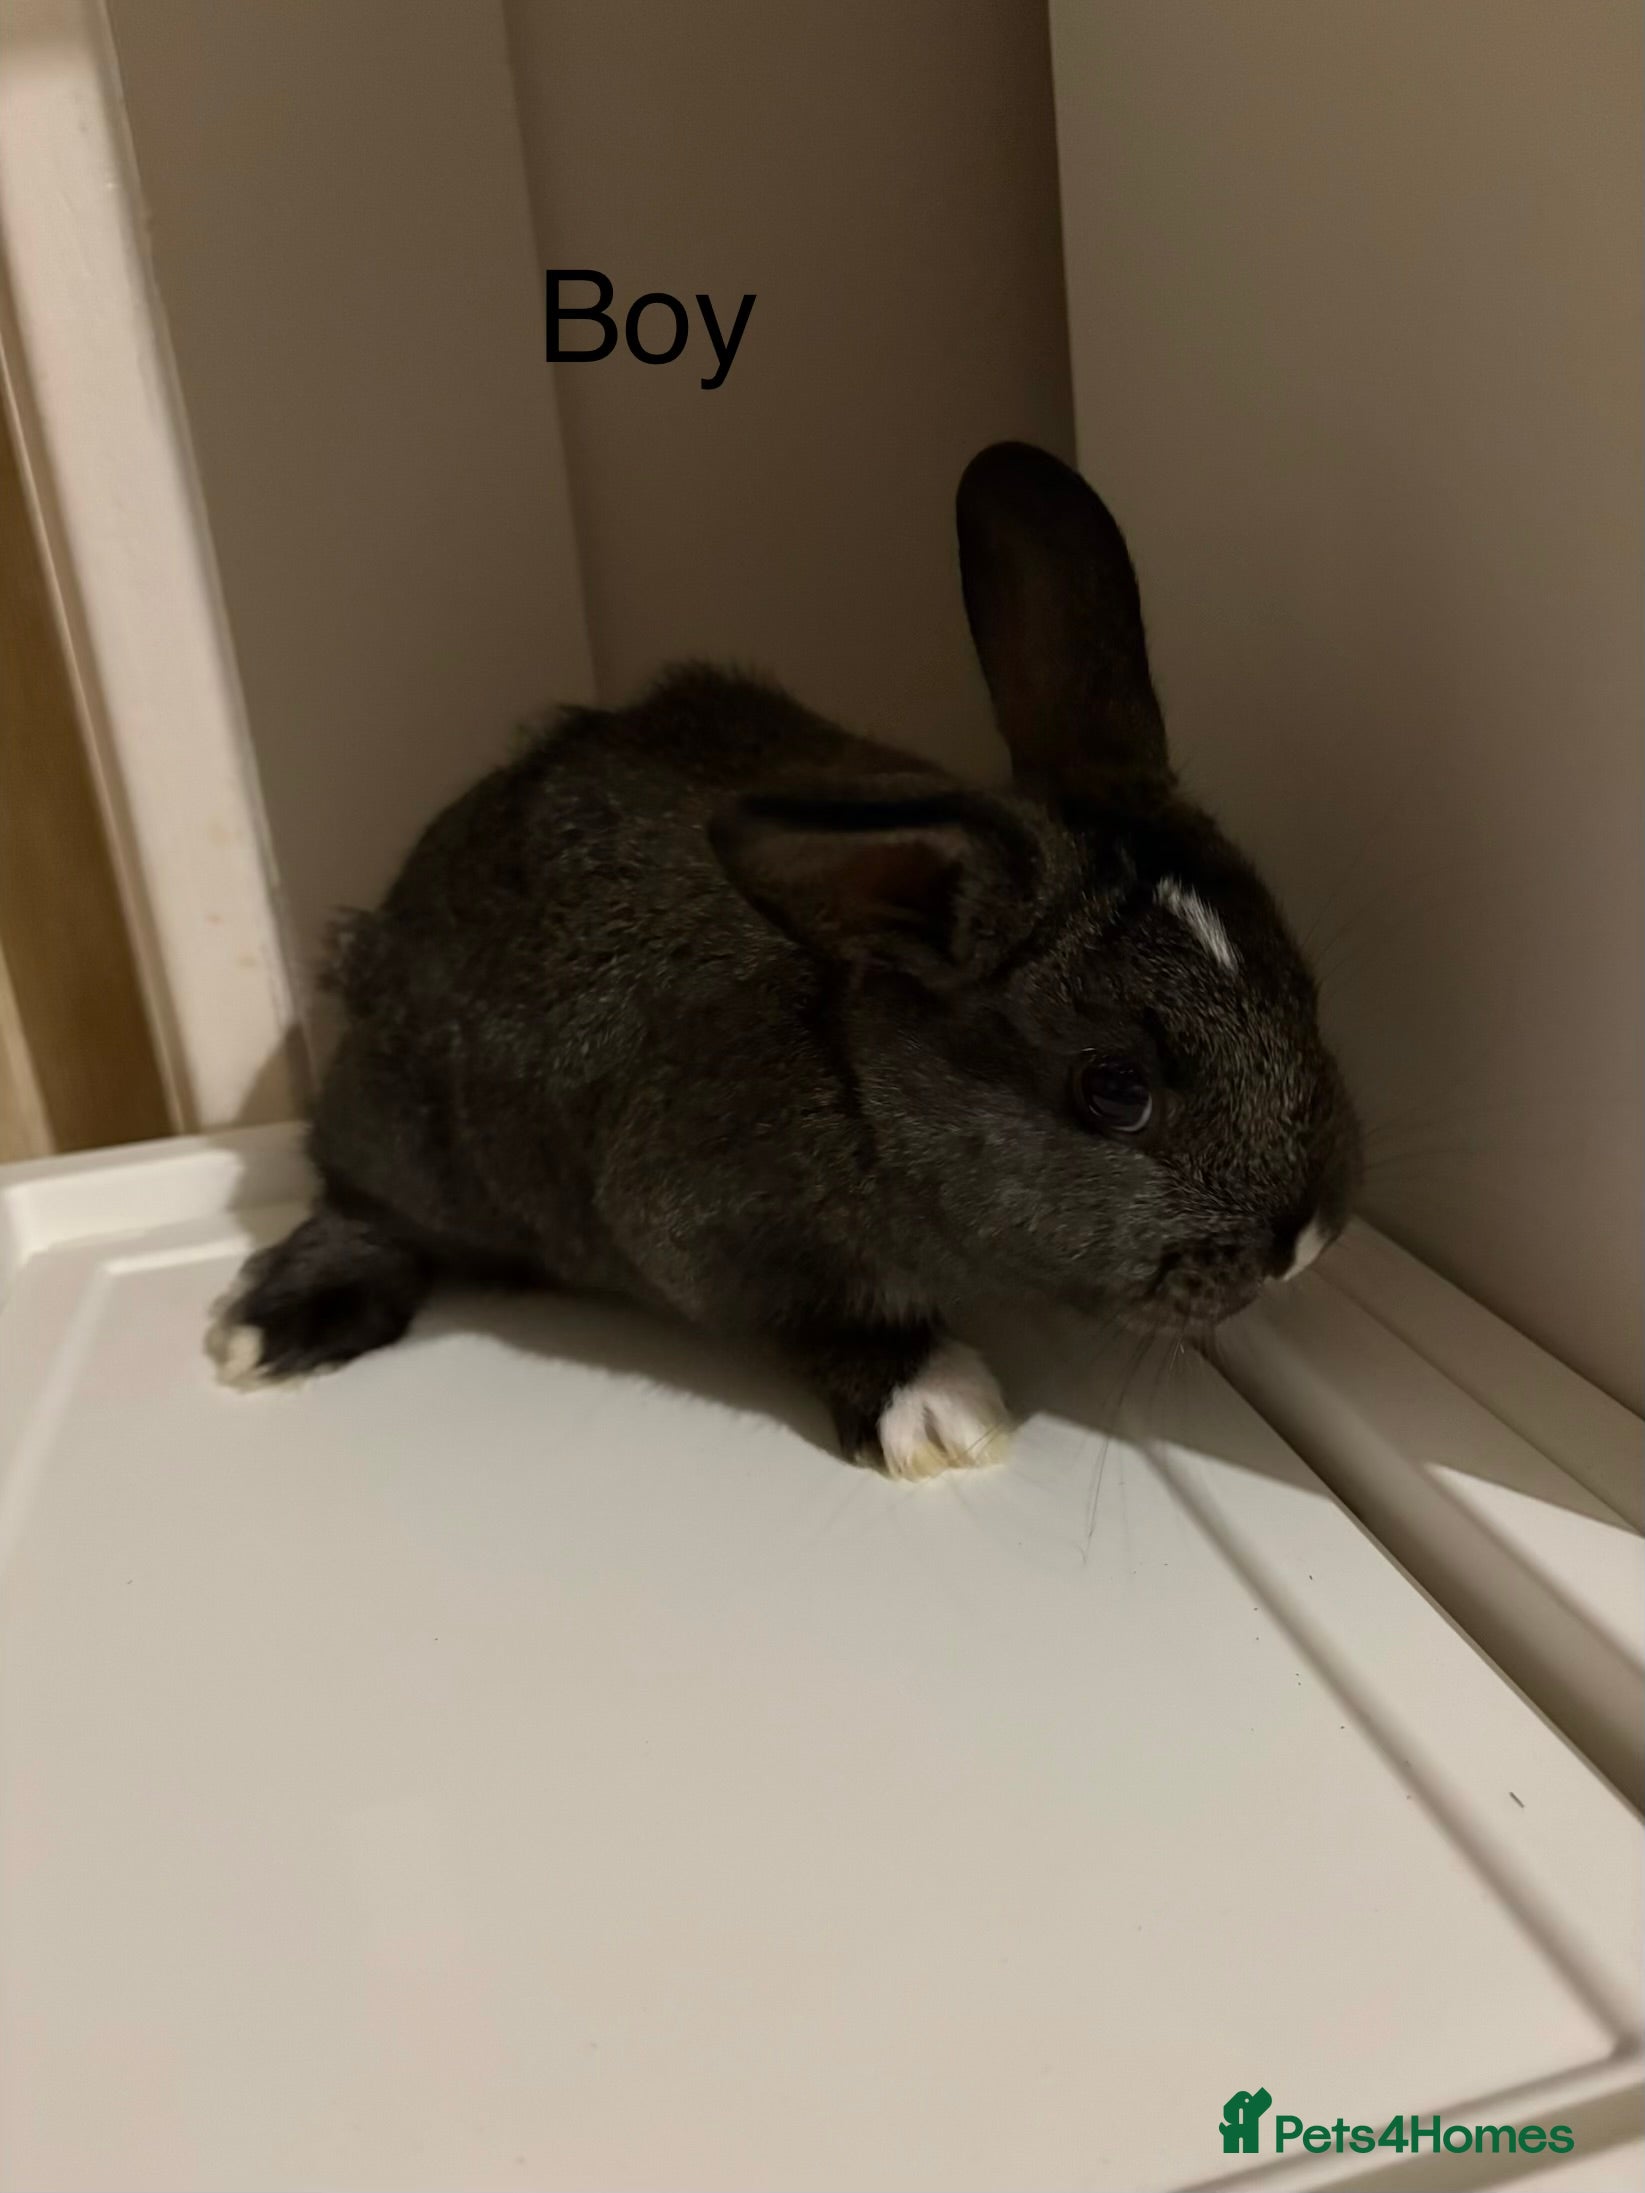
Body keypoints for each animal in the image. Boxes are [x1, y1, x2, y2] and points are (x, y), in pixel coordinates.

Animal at [208, 441, 1360, 1480]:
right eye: (1115, 1090)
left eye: (1302, 987)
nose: (1304, 1239)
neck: (858, 1079)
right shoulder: (705, 1234)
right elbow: (827, 1323)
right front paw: (941, 1418)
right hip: (408, 1135)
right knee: (356, 1203)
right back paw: (265, 1333)